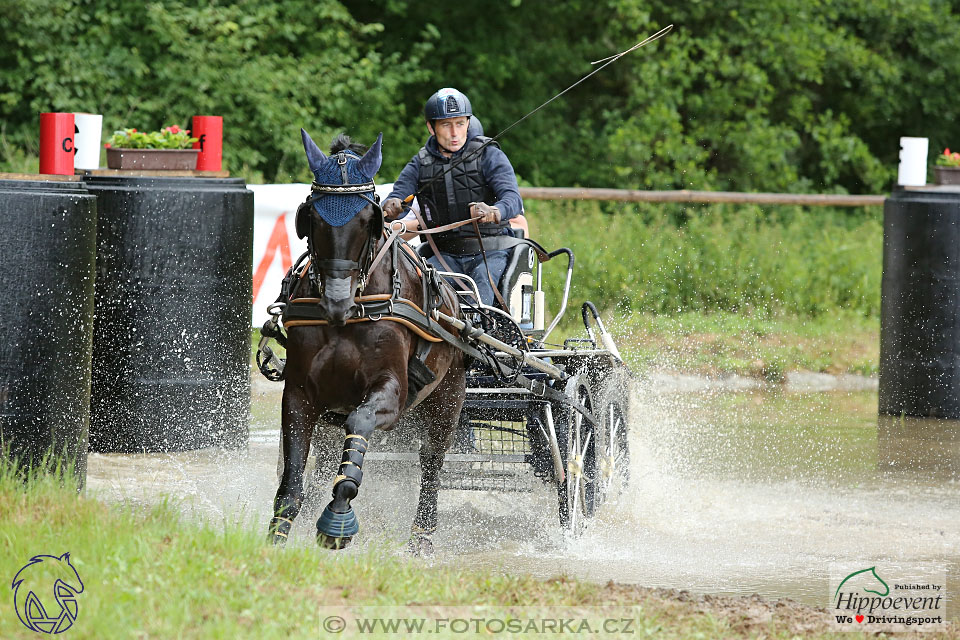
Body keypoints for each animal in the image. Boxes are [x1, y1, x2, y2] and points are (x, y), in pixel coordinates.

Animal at [268, 127, 466, 552]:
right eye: (313, 216)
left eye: (365, 218)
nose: (336, 300)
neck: (351, 315)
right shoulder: (300, 394)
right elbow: (292, 478)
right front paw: (277, 536)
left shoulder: (391, 392)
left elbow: (359, 424)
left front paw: (337, 517)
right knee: (324, 458)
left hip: (447, 400)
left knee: (432, 462)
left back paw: (422, 535)